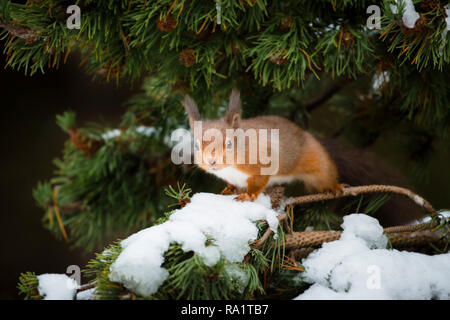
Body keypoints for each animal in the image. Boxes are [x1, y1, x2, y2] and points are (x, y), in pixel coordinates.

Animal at [180, 89, 426, 226]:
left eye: (229, 144)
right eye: (196, 145)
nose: (211, 163)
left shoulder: (263, 162)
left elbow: (258, 182)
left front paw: (248, 195)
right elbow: (232, 183)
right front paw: (229, 189)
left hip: (317, 165)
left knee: (326, 174)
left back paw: (334, 186)